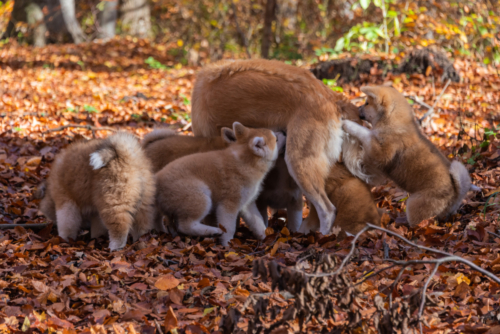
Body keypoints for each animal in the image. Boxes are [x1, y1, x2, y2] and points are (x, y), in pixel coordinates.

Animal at [342, 86, 478, 227]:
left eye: (367, 103)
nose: (357, 109)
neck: (394, 121)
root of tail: (455, 193)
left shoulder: (381, 151)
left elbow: (366, 133)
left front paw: (348, 124)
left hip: (414, 204)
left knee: (417, 224)